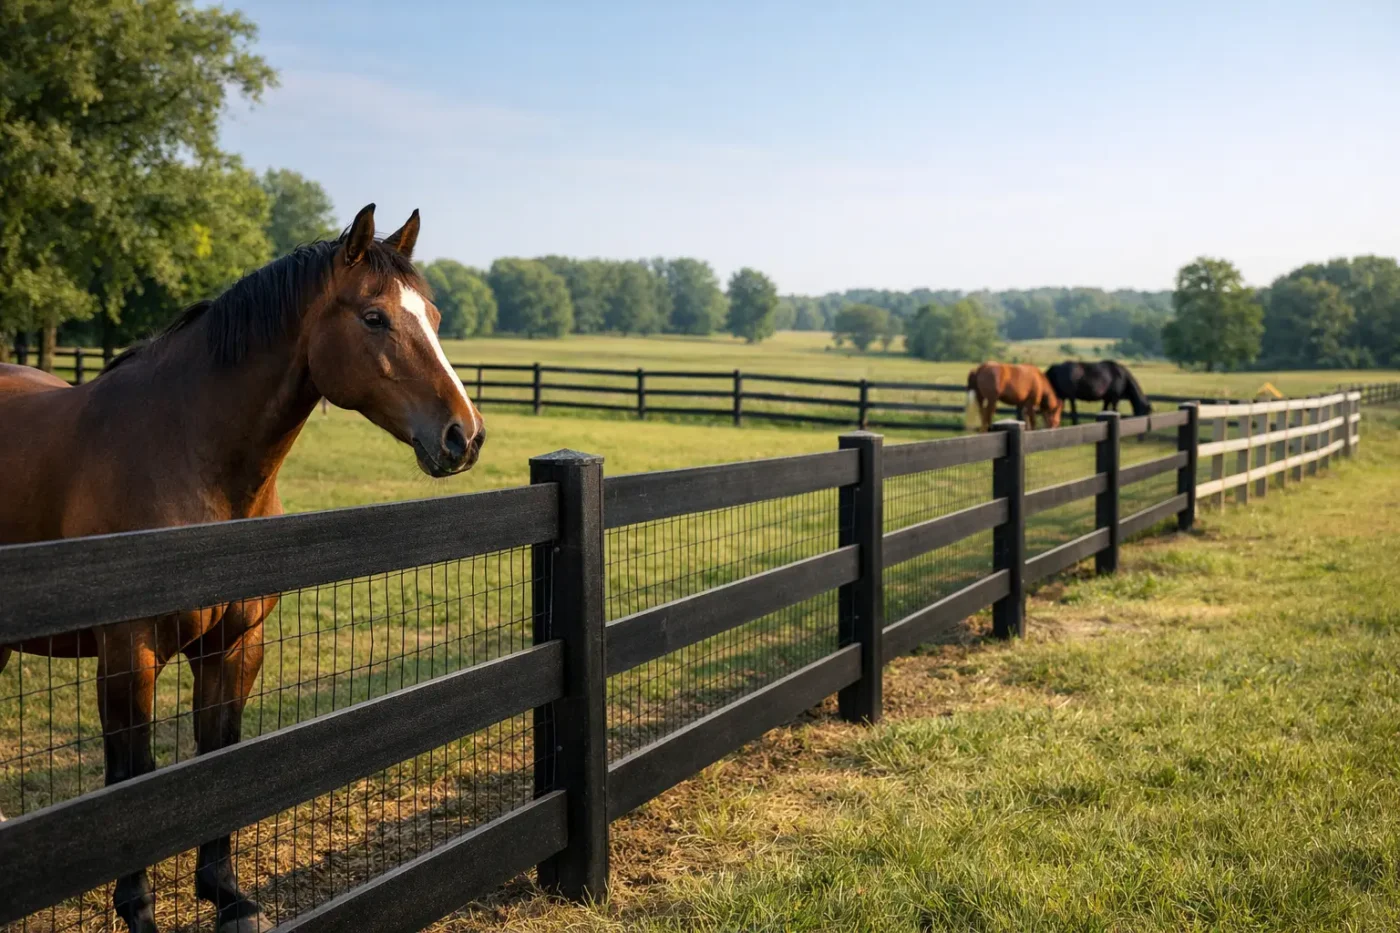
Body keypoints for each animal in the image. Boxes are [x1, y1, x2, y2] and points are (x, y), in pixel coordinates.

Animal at [0, 204, 485, 933]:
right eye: (374, 317)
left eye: (431, 314)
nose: (465, 434)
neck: (183, 451)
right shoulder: (128, 653)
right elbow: (131, 776)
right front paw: (138, 909)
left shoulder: (234, 646)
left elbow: (220, 759)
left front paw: (228, 896)